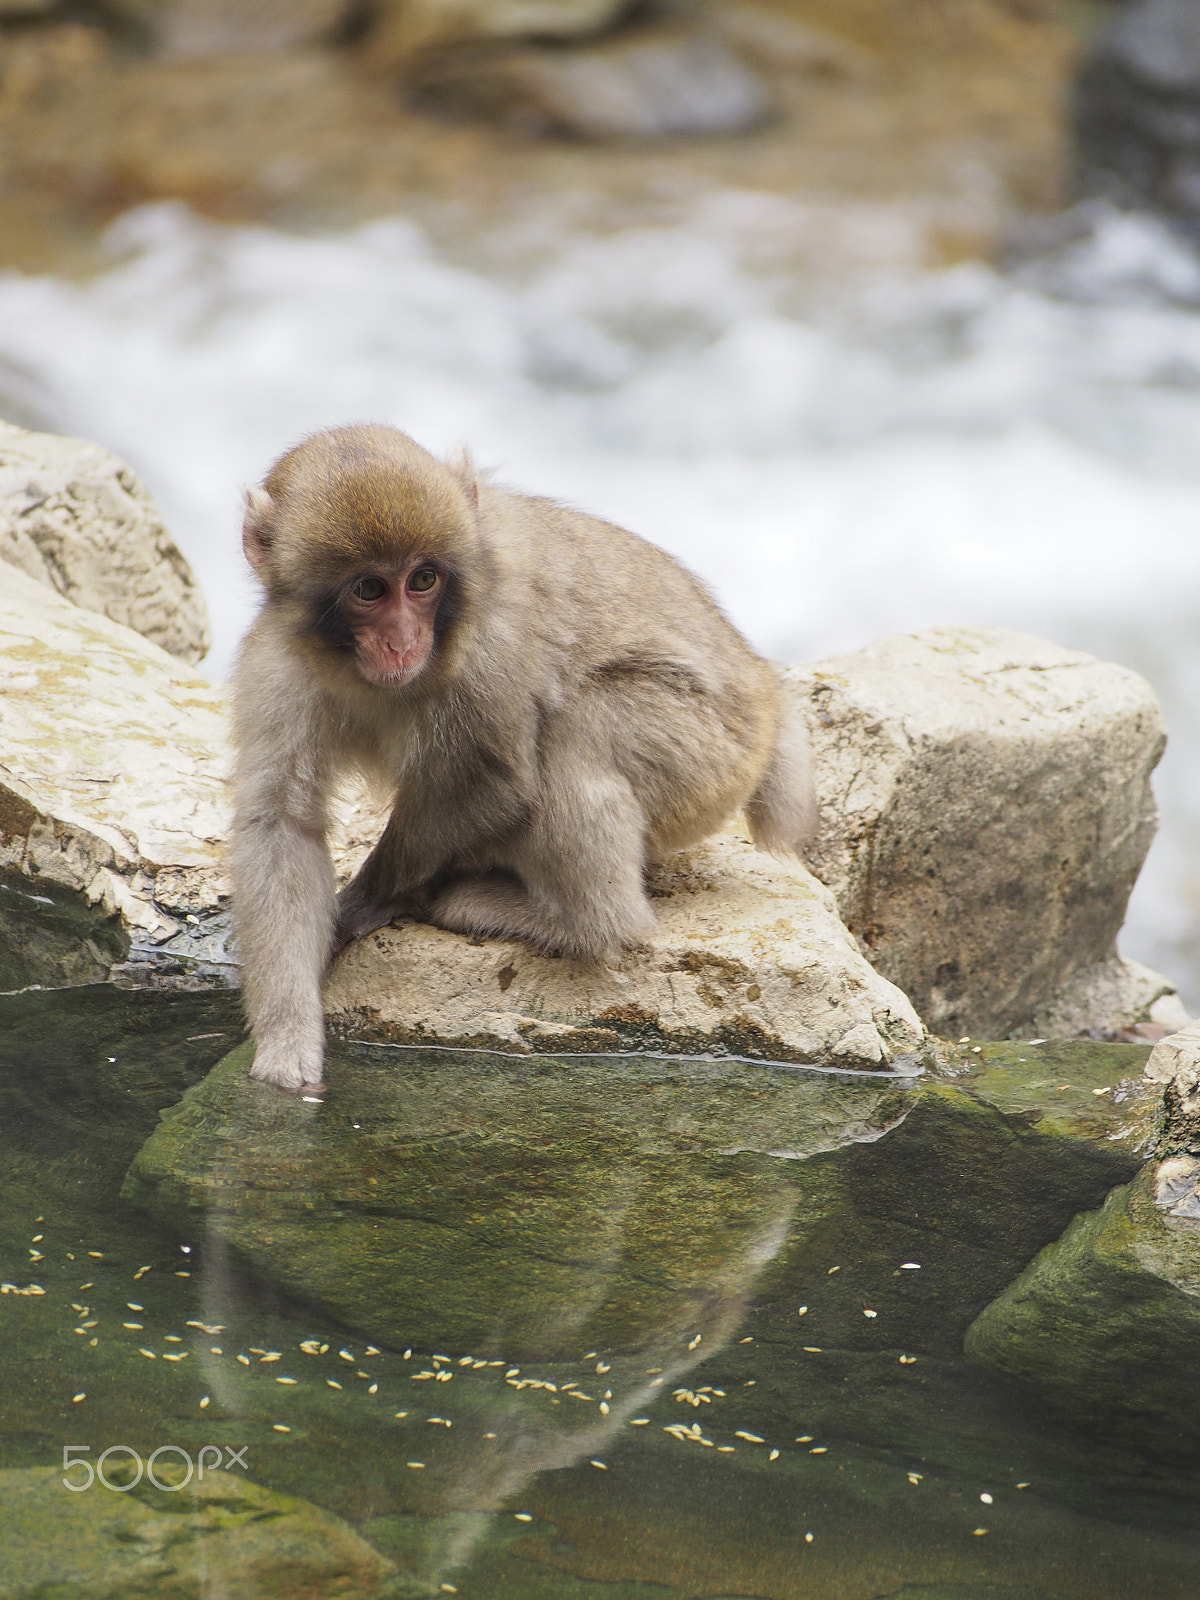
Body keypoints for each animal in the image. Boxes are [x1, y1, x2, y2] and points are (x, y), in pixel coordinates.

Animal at [231, 424, 817, 1091]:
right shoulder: (280, 662)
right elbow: (282, 821)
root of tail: (766, 693)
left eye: (422, 580)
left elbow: (490, 782)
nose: (404, 641)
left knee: (574, 729)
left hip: (708, 756)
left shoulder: (492, 639)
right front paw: (287, 1035)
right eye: (370, 589)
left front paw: (361, 904)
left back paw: (576, 922)